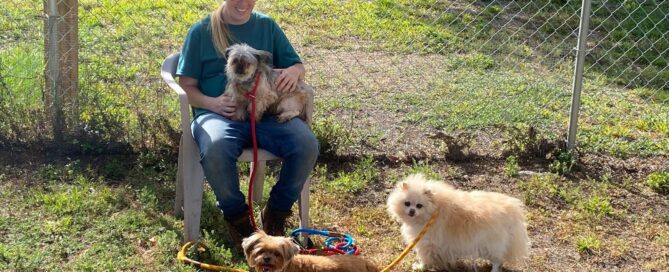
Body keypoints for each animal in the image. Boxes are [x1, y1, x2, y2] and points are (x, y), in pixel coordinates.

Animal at [386, 173, 528, 270]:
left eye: (419, 206)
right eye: (407, 203)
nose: (411, 211)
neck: (433, 211)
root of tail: (512, 210)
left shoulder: (426, 243)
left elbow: (425, 258)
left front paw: (420, 267)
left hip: (490, 245)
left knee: (498, 261)